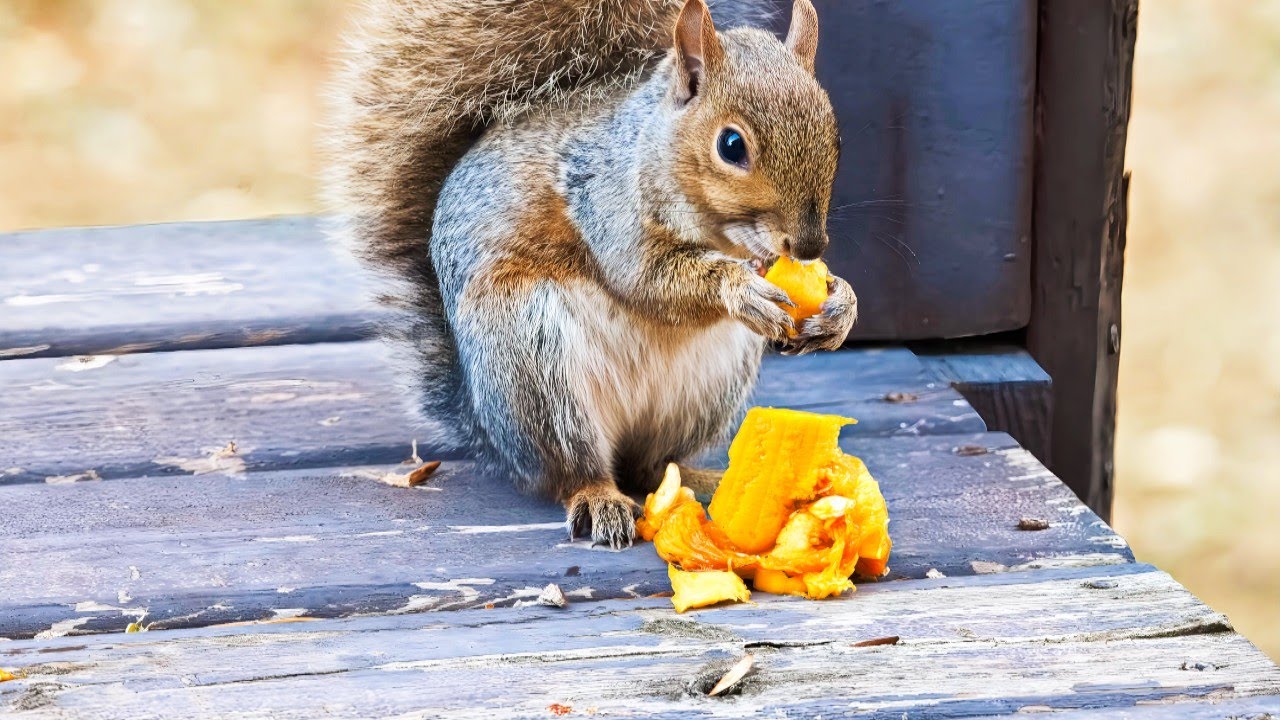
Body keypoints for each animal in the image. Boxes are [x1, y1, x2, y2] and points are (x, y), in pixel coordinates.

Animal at [326, 0, 858, 548]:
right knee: (576, 467)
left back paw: (701, 481)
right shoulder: (606, 206)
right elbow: (648, 279)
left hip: (707, 389)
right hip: (532, 363)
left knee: (651, 466)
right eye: (731, 145)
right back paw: (599, 496)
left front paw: (841, 304)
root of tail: (492, 433)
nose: (809, 245)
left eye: (835, 135)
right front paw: (739, 289)